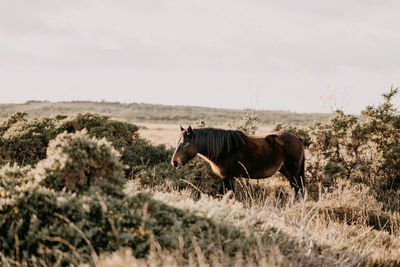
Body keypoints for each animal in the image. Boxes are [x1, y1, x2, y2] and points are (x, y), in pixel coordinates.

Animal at [172, 125, 306, 195]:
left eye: (185, 143)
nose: (174, 162)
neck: (224, 149)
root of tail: (299, 140)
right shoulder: (224, 177)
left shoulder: (228, 177)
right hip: (286, 171)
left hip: (293, 173)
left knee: (297, 189)